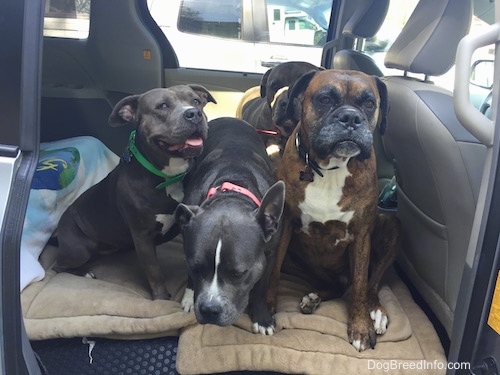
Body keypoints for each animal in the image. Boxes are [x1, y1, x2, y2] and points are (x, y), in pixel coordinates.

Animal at [53, 84, 216, 300]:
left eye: (196, 101)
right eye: (162, 106)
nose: (193, 113)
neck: (168, 177)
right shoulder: (142, 237)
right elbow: (154, 271)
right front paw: (161, 299)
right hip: (79, 249)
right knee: (58, 266)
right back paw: (84, 273)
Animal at [176, 117, 286, 334]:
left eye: (239, 274)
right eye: (196, 267)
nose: (209, 309)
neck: (233, 190)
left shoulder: (270, 253)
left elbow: (261, 287)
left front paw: (261, 318)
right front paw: (189, 297)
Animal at [268, 70, 400, 352]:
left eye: (369, 103)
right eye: (325, 99)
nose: (350, 117)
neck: (329, 168)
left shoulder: (361, 236)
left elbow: (361, 284)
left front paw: (361, 327)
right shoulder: (284, 224)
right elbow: (273, 271)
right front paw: (265, 308)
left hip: (392, 226)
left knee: (368, 283)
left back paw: (376, 311)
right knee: (336, 285)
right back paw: (315, 297)